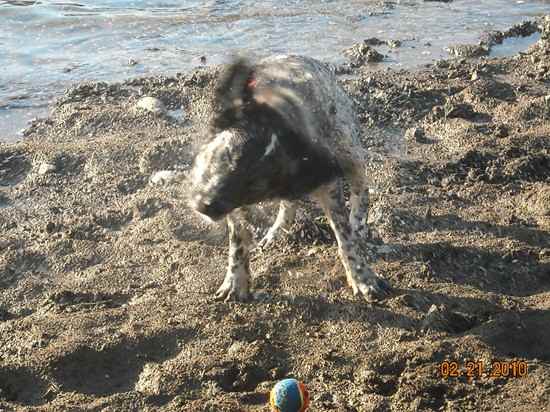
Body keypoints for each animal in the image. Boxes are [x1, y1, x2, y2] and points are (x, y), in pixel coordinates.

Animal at [190, 54, 392, 302]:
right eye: (227, 156)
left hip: (349, 151)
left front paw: (363, 279)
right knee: (289, 204)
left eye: (255, 184)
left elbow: (346, 240)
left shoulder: (326, 182)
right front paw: (235, 282)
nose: (204, 206)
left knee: (361, 191)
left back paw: (358, 223)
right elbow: (237, 242)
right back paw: (275, 232)